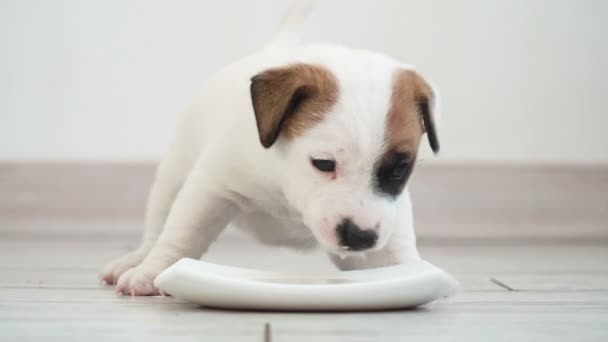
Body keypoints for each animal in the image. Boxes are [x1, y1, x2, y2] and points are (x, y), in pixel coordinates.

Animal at [102, 1, 440, 296]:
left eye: (400, 169)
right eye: (323, 163)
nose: (360, 236)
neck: (285, 184)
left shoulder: (389, 222)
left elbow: (394, 254)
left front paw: (411, 274)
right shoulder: (211, 189)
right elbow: (182, 235)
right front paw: (152, 271)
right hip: (171, 178)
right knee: (158, 225)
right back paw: (139, 258)